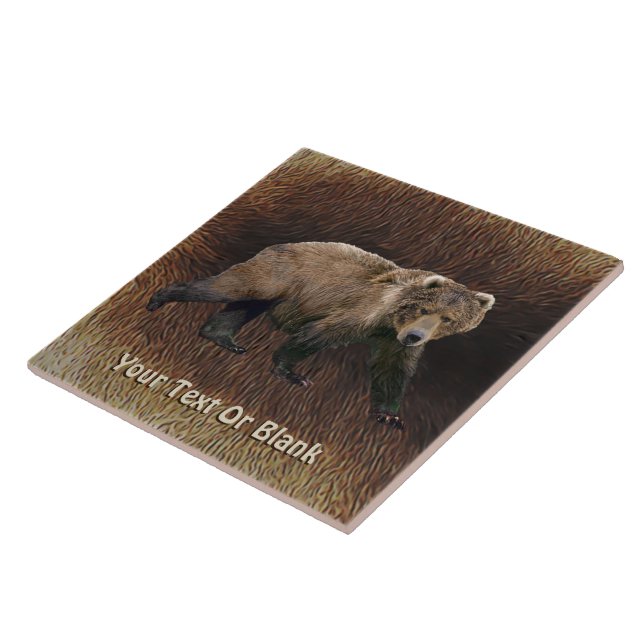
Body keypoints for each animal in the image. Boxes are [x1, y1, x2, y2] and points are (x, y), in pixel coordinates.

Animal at [146, 242, 495, 430]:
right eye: (425, 309)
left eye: (448, 319)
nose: (415, 336)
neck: (390, 319)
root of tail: (278, 245)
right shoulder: (361, 311)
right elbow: (318, 335)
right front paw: (292, 372)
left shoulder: (390, 341)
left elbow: (391, 371)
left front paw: (389, 416)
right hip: (277, 275)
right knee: (230, 288)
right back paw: (161, 297)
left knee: (243, 306)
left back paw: (224, 338)